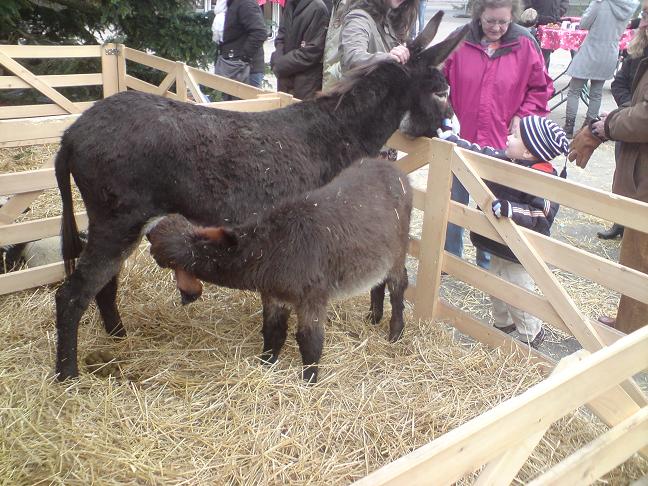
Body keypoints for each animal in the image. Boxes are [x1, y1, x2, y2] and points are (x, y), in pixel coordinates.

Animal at [148, 160, 410, 384]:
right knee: (379, 281)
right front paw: (266, 364)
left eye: (157, 251)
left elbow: (310, 340)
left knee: (398, 285)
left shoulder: (313, 298)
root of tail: (393, 169)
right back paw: (374, 317)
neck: (271, 247)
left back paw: (395, 332)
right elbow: (272, 332)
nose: (148, 230)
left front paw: (309, 380)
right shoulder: (273, 296)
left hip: (399, 252)